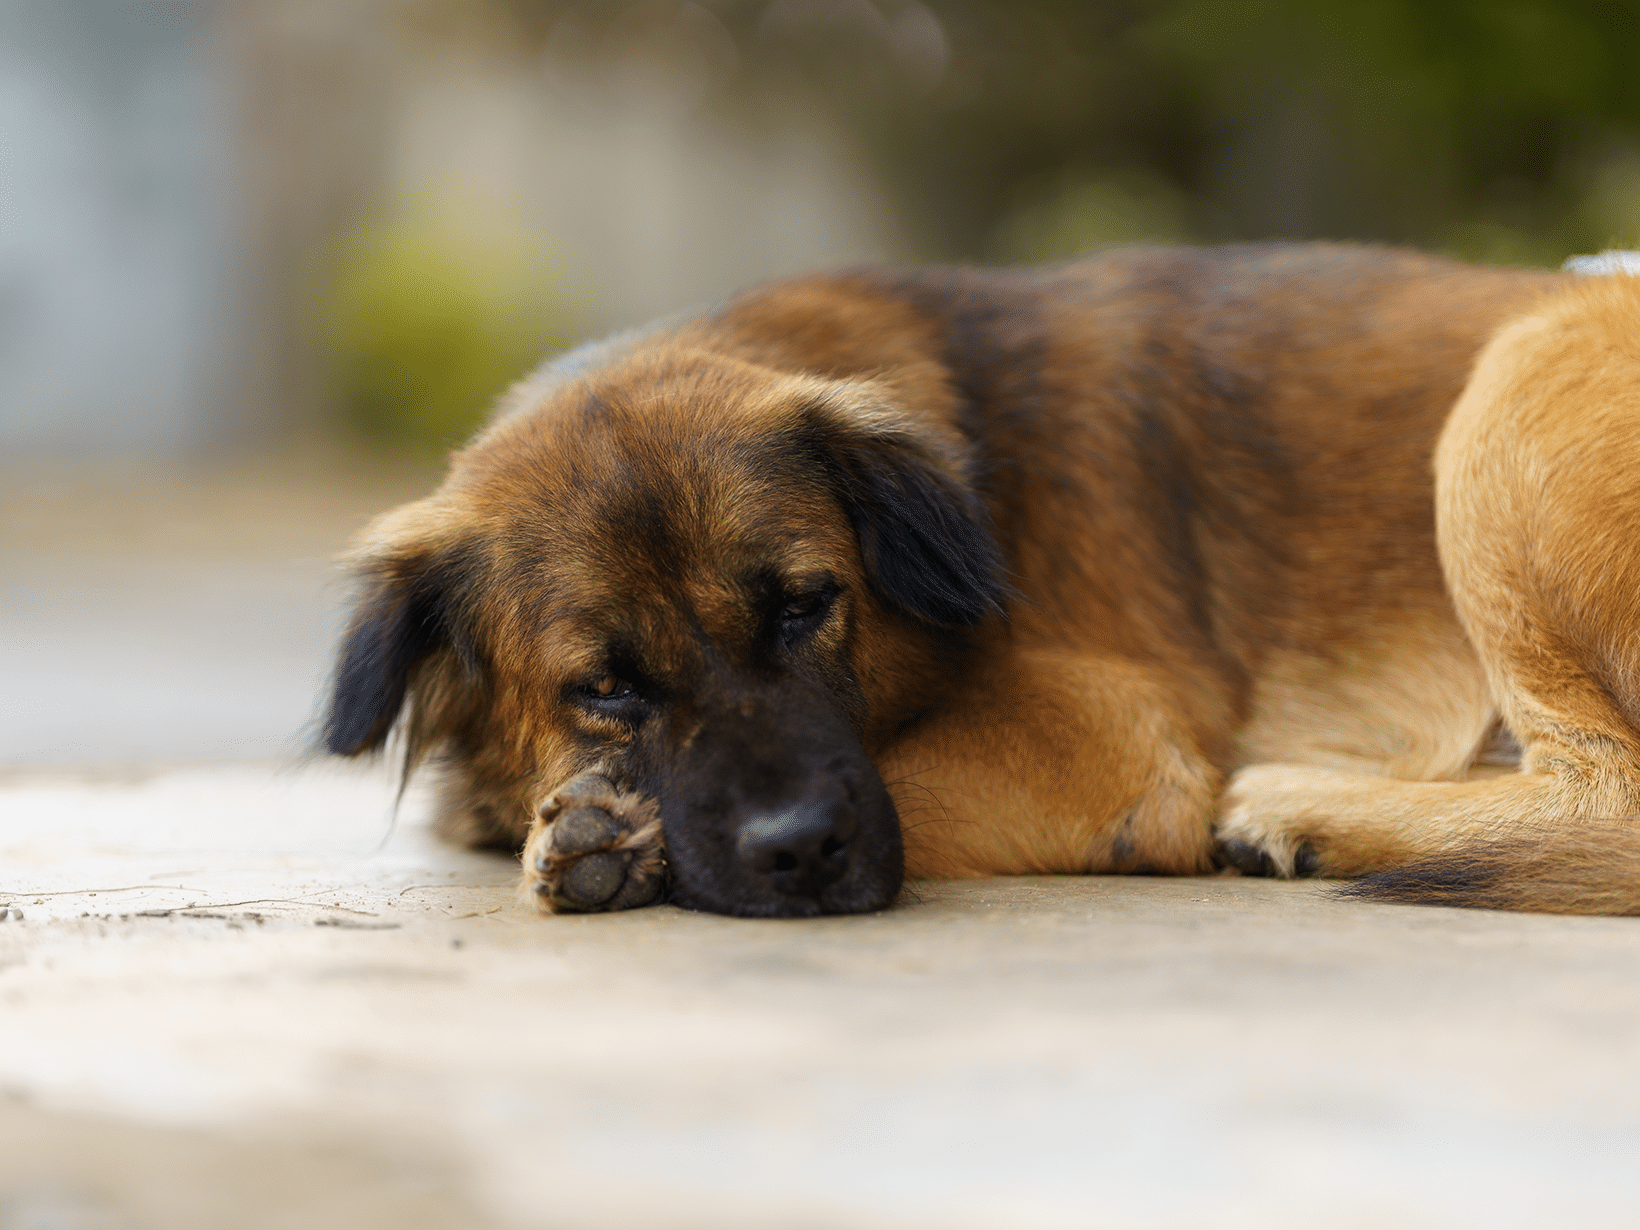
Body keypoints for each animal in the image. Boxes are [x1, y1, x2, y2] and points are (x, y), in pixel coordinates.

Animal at [319, 242, 1640, 918]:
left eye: (805, 606)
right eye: (603, 687)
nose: (800, 854)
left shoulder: (1109, 733)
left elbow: (903, 782)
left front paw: (616, 841)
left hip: (1510, 392)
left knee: (1604, 794)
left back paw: (1291, 810)